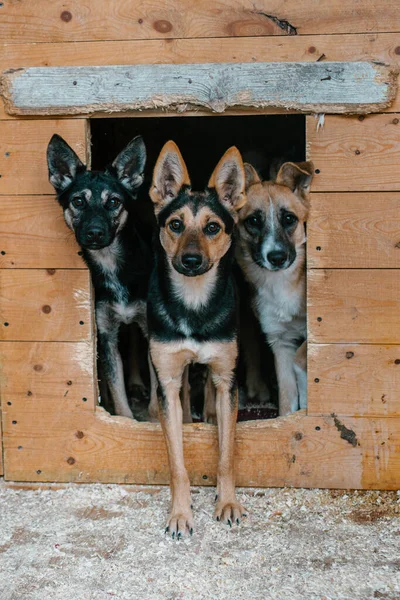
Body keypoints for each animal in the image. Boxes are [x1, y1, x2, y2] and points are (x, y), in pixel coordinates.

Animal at [46, 134, 154, 420]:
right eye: (78, 201)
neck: (112, 264)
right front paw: (125, 420)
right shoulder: (105, 334)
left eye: (114, 202)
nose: (94, 232)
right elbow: (117, 389)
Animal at [236, 162, 314, 420]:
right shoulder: (279, 341)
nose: (277, 257)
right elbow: (286, 398)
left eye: (289, 218)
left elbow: (301, 358)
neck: (280, 283)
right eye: (253, 221)